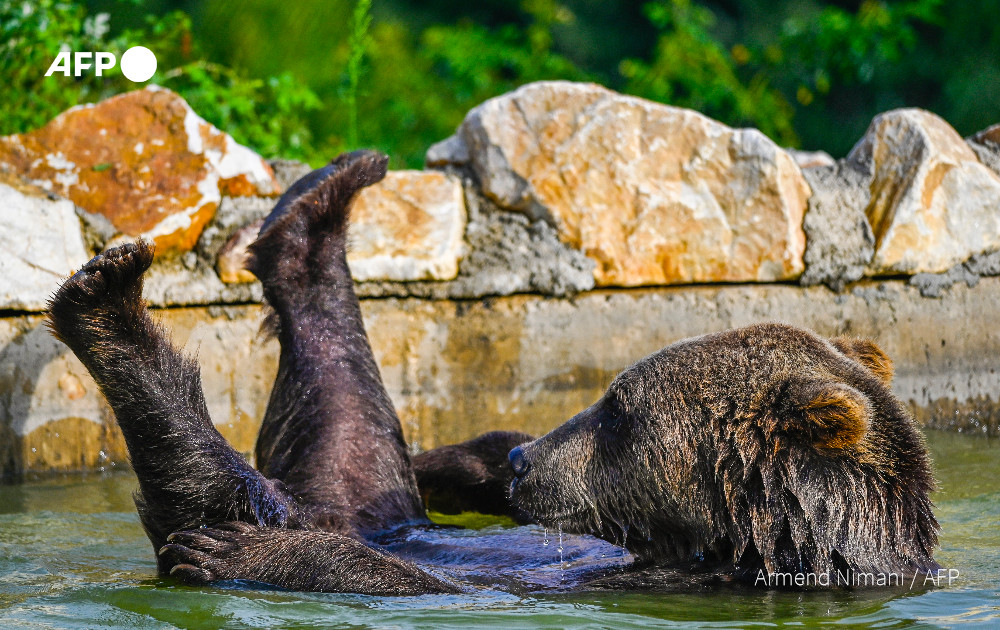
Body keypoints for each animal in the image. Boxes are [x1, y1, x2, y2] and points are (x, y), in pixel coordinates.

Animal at [47, 151, 936, 596]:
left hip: (308, 499)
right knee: (351, 419)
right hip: (357, 496)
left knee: (217, 479)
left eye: (619, 407)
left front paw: (240, 555)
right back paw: (322, 196)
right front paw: (472, 458)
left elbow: (438, 587)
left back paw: (107, 299)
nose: (524, 462)